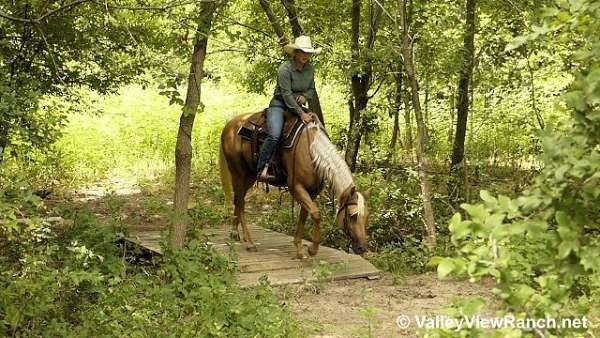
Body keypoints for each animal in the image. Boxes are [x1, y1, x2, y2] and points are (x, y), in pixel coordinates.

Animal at [219, 112, 368, 258]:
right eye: (352, 215)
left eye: (365, 216)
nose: (362, 248)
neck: (311, 151)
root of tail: (230, 124)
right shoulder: (296, 187)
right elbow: (315, 214)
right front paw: (312, 249)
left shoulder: (312, 192)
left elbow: (304, 215)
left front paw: (299, 247)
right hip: (237, 172)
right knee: (240, 202)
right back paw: (249, 243)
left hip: (249, 175)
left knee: (238, 200)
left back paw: (234, 233)